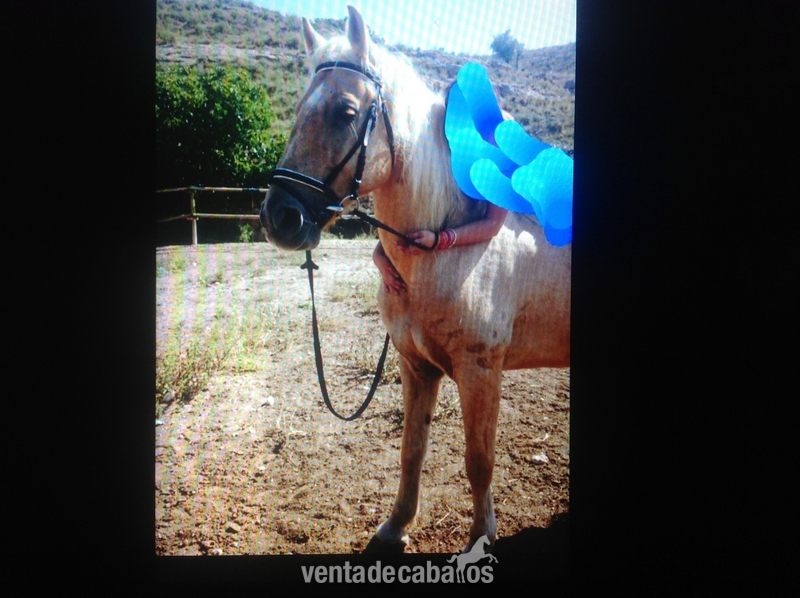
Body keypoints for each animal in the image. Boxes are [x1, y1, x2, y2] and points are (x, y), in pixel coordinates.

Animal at [260, 5, 570, 553]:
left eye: (345, 112)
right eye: (299, 107)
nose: (280, 217)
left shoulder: (480, 371)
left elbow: (479, 461)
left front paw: (479, 539)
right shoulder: (416, 366)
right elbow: (412, 450)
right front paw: (396, 525)